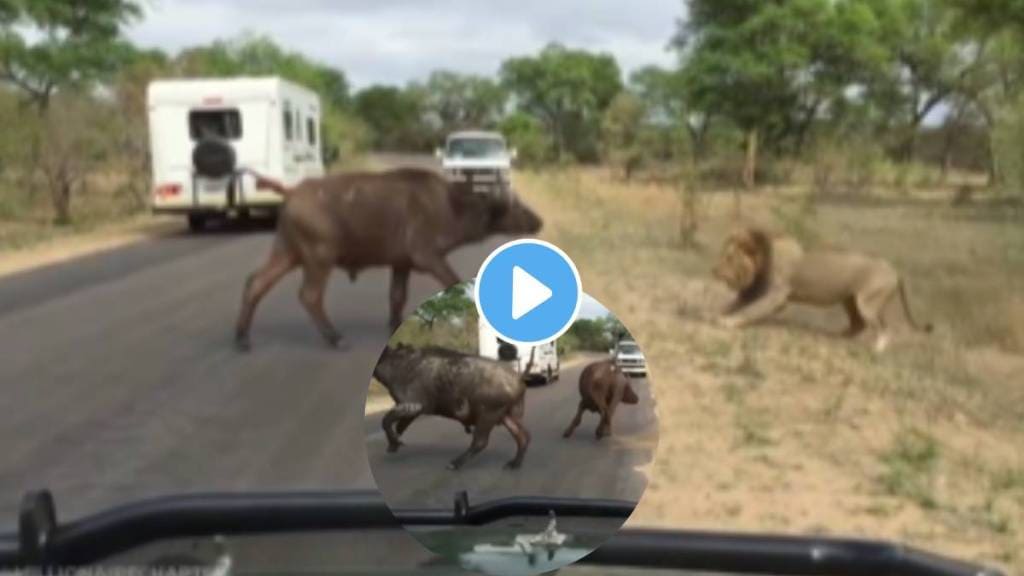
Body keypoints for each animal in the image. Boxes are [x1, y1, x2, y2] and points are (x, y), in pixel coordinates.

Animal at [234, 168, 544, 348]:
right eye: (516, 208)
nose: (538, 221)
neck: (450, 205)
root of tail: (293, 191)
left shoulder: (401, 265)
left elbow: (397, 297)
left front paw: (394, 326)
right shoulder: (429, 258)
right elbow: (452, 281)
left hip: (288, 252)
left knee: (255, 283)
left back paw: (242, 337)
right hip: (318, 258)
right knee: (309, 295)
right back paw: (334, 337)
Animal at [716, 225, 933, 350]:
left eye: (729, 258)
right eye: (725, 255)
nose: (714, 270)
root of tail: (895, 270)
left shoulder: (775, 296)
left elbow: (750, 310)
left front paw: (729, 321)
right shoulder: (755, 290)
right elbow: (734, 304)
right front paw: (720, 313)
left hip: (867, 303)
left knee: (884, 328)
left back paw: (877, 349)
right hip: (850, 301)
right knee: (858, 325)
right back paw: (836, 336)